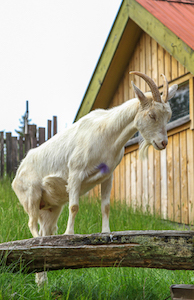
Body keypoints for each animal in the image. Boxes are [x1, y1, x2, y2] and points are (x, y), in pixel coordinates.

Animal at [11, 71, 177, 282]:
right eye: (152, 115)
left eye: (168, 116)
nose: (163, 143)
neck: (106, 133)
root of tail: (18, 173)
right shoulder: (75, 173)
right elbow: (74, 206)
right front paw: (70, 234)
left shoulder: (108, 176)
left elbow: (105, 206)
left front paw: (107, 233)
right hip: (30, 196)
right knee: (32, 225)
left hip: (51, 208)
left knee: (46, 230)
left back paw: (42, 280)